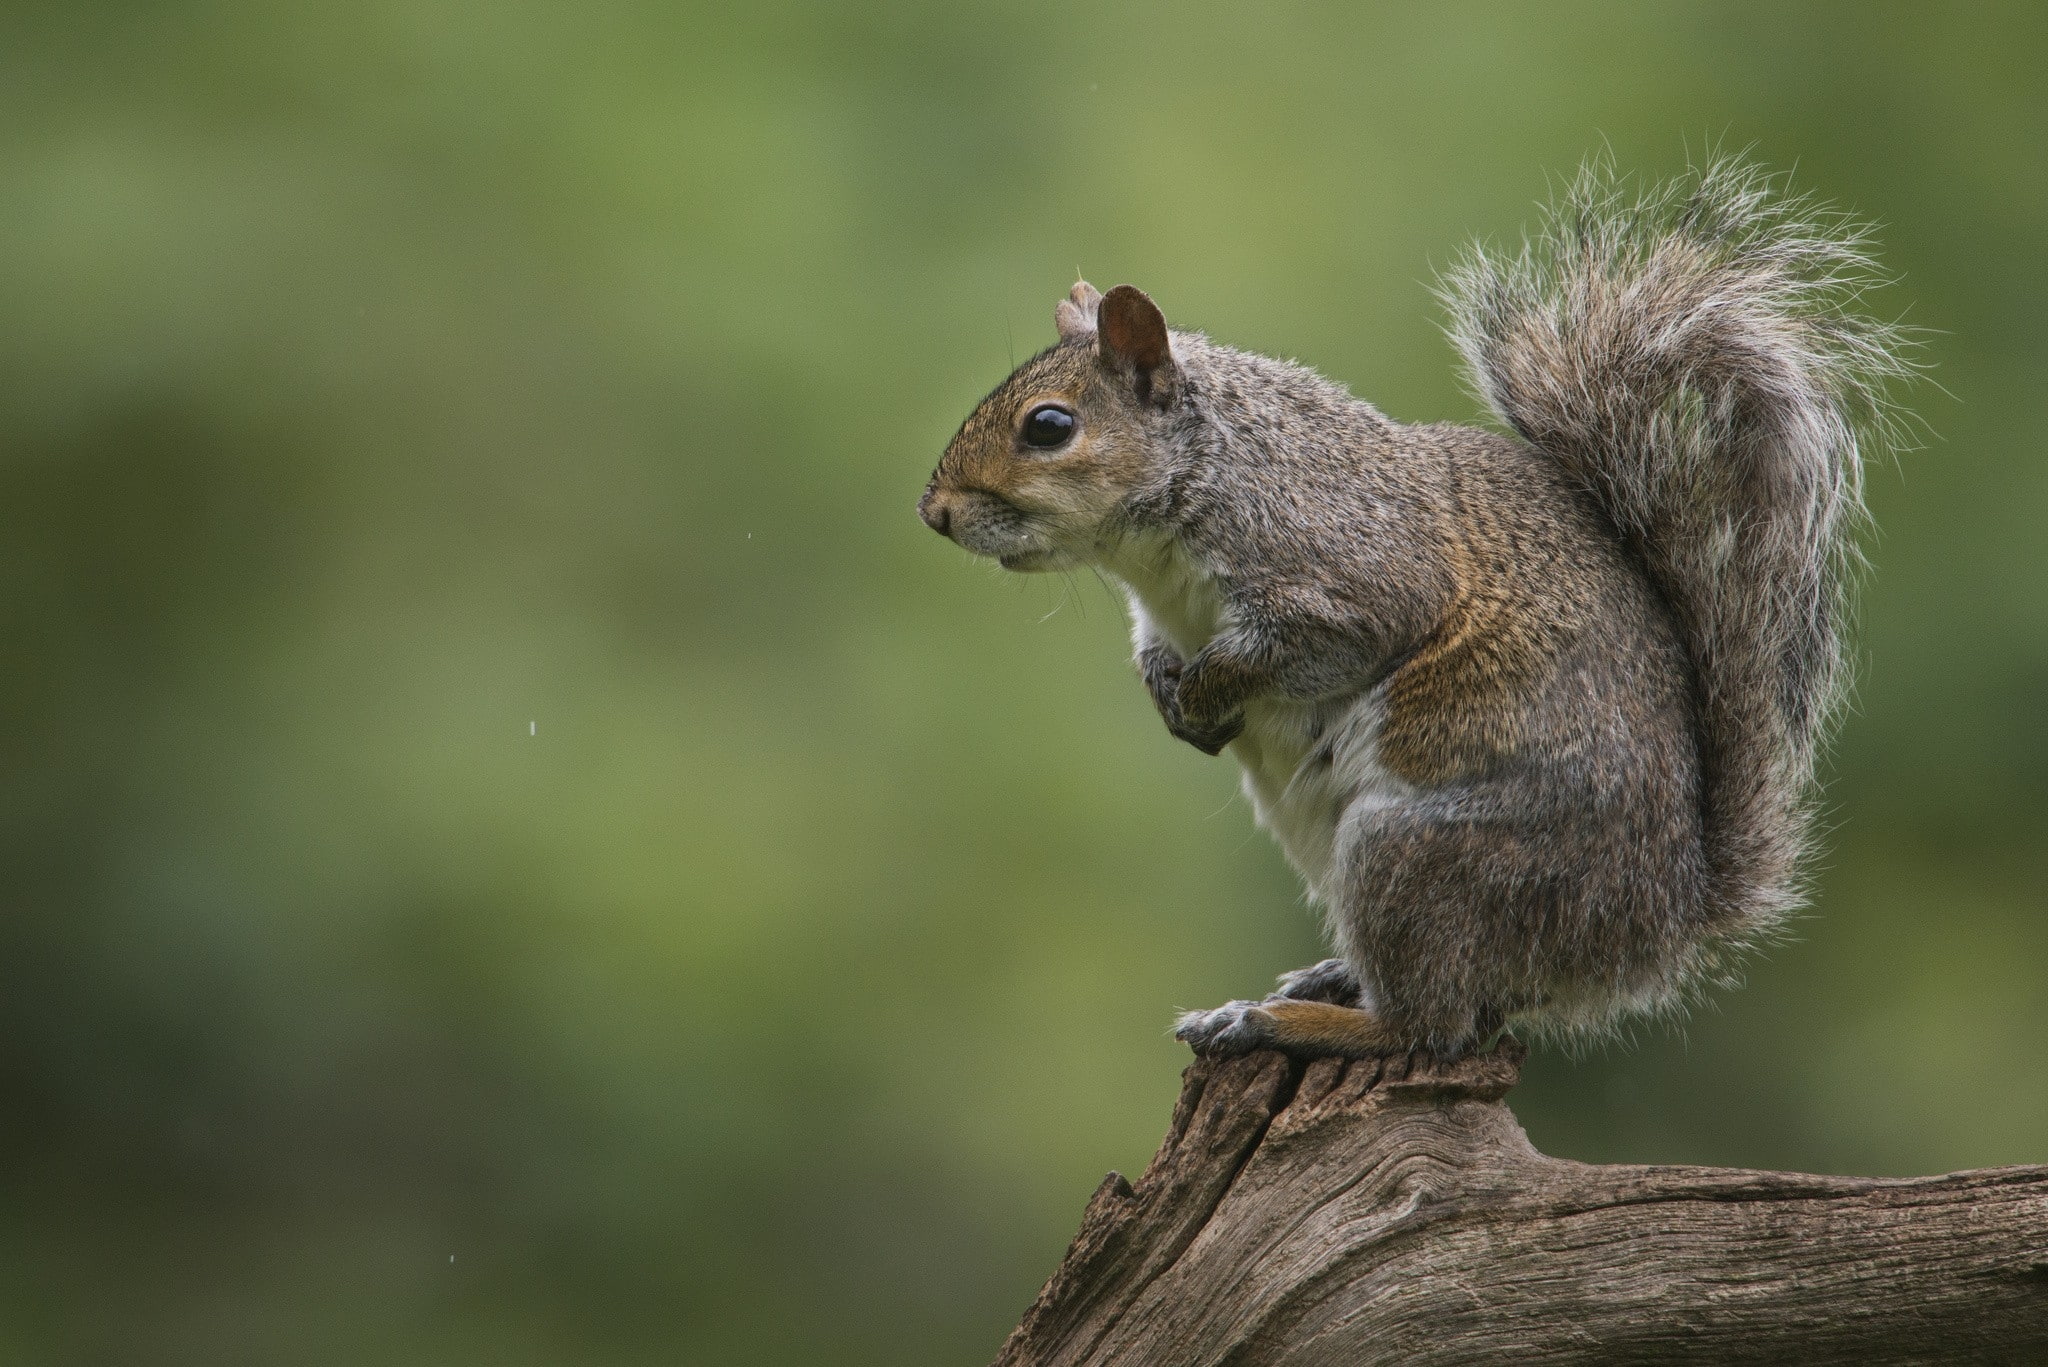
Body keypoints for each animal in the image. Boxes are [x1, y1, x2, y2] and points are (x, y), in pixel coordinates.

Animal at [917, 158, 1912, 1059]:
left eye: (1049, 426)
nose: (934, 512)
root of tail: (1649, 934)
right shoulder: (1160, 614)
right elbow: (1154, 652)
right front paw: (1173, 696)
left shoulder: (1351, 567)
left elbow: (1307, 644)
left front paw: (1206, 690)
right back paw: (1324, 979)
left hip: (1417, 856)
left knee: (1429, 1027)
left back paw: (1286, 1021)